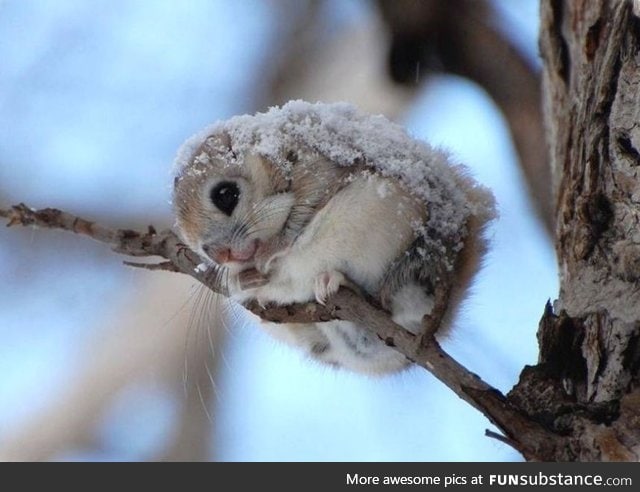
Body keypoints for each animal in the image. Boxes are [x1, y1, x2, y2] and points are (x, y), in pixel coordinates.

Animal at [170, 102, 496, 374]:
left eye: (225, 195)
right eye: (197, 246)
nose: (220, 255)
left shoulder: (318, 169)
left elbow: (301, 215)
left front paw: (270, 251)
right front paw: (239, 279)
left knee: (388, 304)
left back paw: (337, 281)